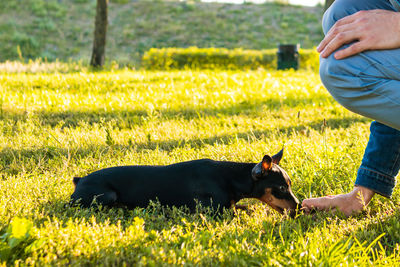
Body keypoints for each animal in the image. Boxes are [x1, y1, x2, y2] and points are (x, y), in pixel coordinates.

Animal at [71, 150, 300, 217]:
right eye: (281, 188)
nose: (299, 208)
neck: (230, 178)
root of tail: (78, 180)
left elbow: (242, 206)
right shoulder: (212, 211)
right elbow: (238, 210)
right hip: (106, 196)